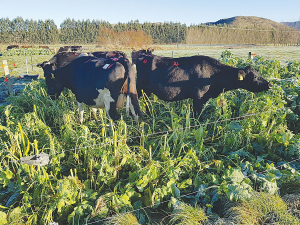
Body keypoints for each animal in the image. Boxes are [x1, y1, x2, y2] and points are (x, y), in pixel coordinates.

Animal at [135, 53, 270, 115]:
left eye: (258, 73)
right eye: (255, 77)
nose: (269, 84)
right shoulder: (198, 97)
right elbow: (197, 116)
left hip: (147, 90)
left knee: (147, 102)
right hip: (138, 87)